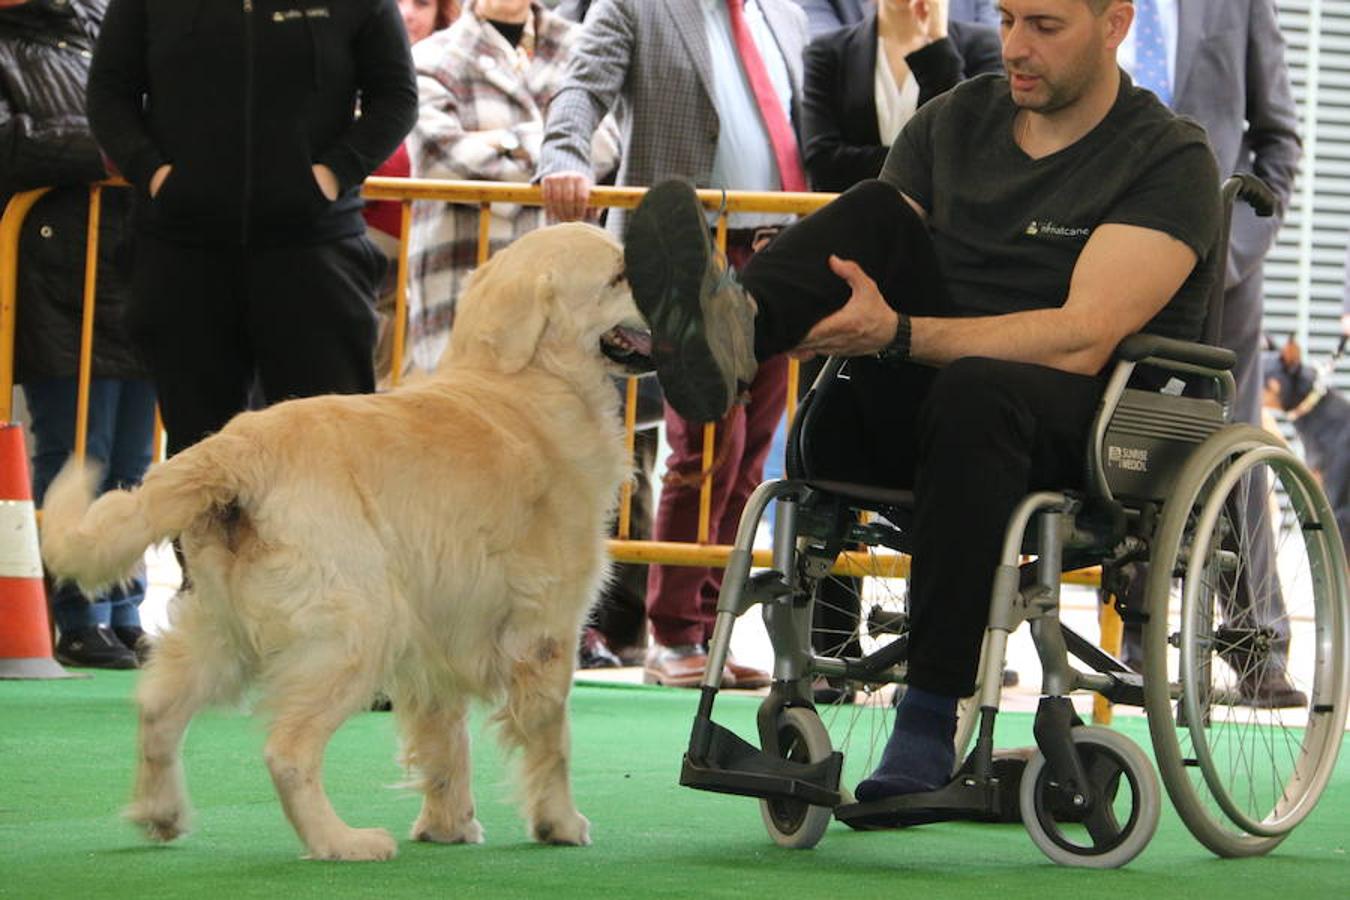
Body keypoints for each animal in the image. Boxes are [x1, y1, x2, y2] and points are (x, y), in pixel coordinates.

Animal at [39, 221, 650, 863]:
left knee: (158, 711)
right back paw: (343, 841)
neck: (525, 384)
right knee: (287, 750)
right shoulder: (546, 630)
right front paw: (560, 823)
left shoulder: (439, 631)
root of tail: (235, 450)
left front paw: (448, 825)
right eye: (618, 274)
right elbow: (551, 738)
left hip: (223, 625)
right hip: (357, 628)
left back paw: (163, 814)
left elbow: (444, 738)